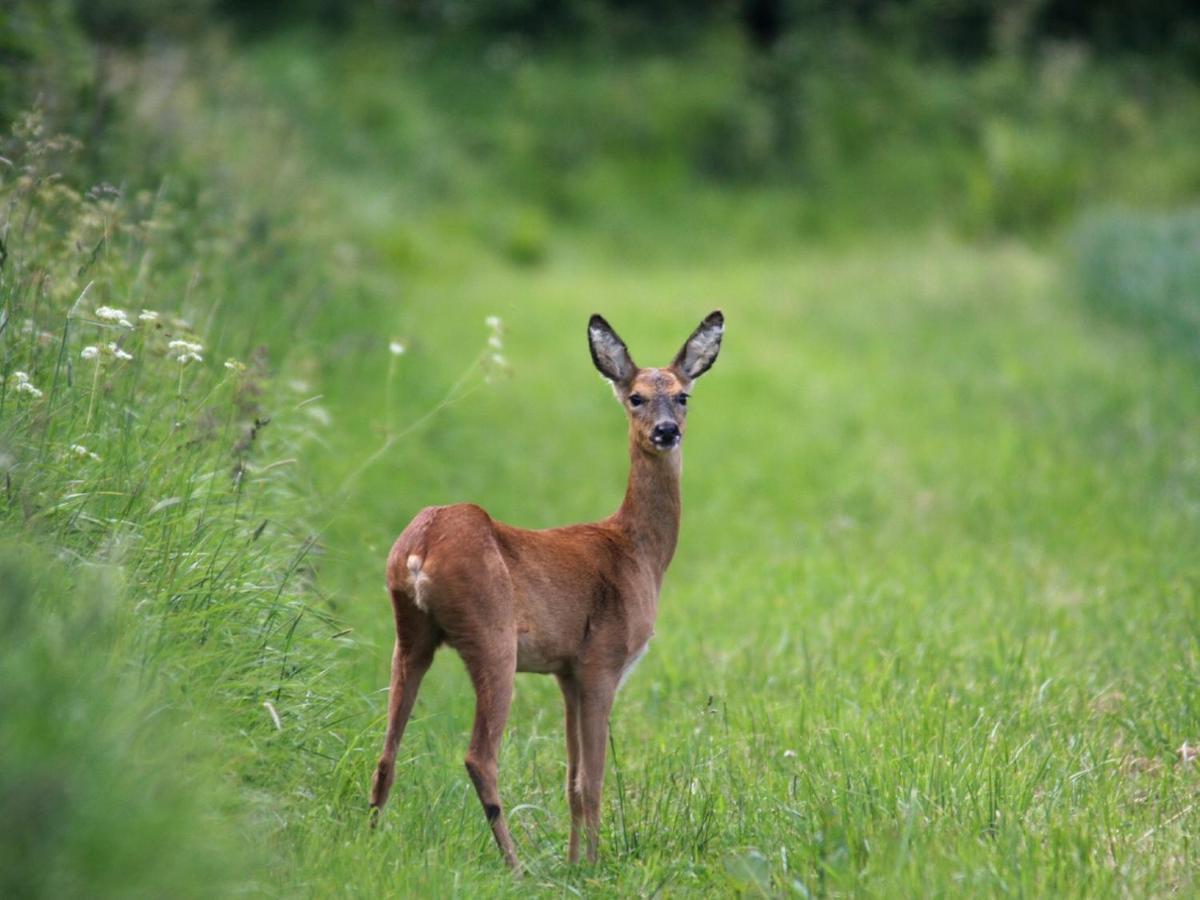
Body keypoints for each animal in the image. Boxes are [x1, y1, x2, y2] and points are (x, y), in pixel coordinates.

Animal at [364, 312, 720, 873]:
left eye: (683, 395)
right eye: (636, 397)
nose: (667, 431)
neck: (638, 551)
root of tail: (420, 548)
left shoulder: (565, 671)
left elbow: (572, 782)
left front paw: (575, 865)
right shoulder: (601, 661)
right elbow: (592, 780)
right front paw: (593, 869)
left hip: (410, 634)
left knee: (386, 751)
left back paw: (369, 840)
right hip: (492, 635)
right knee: (479, 755)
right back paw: (516, 866)